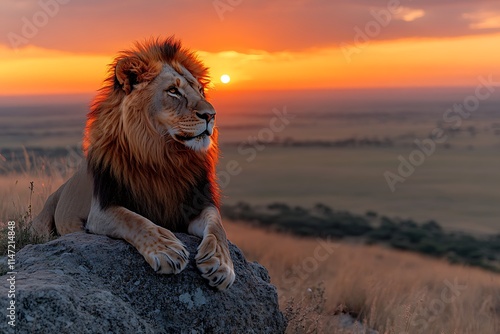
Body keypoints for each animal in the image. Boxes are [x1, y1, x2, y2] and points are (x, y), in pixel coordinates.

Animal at [33, 37, 236, 290]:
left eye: (199, 90)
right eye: (173, 91)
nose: (211, 115)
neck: (164, 156)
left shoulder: (197, 203)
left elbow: (218, 227)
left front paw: (221, 263)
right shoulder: (102, 210)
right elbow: (134, 219)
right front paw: (166, 249)